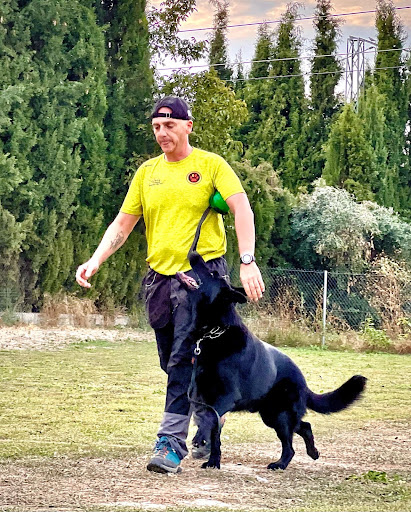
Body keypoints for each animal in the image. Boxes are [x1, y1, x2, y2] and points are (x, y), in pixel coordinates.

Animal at [176, 250, 366, 470]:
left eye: (213, 273)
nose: (194, 252)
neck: (214, 331)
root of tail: (303, 381)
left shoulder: (225, 397)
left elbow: (208, 419)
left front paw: (200, 440)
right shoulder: (203, 397)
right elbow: (214, 433)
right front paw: (213, 461)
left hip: (279, 416)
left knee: (291, 444)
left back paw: (281, 464)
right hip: (271, 414)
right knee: (304, 426)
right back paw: (312, 452)